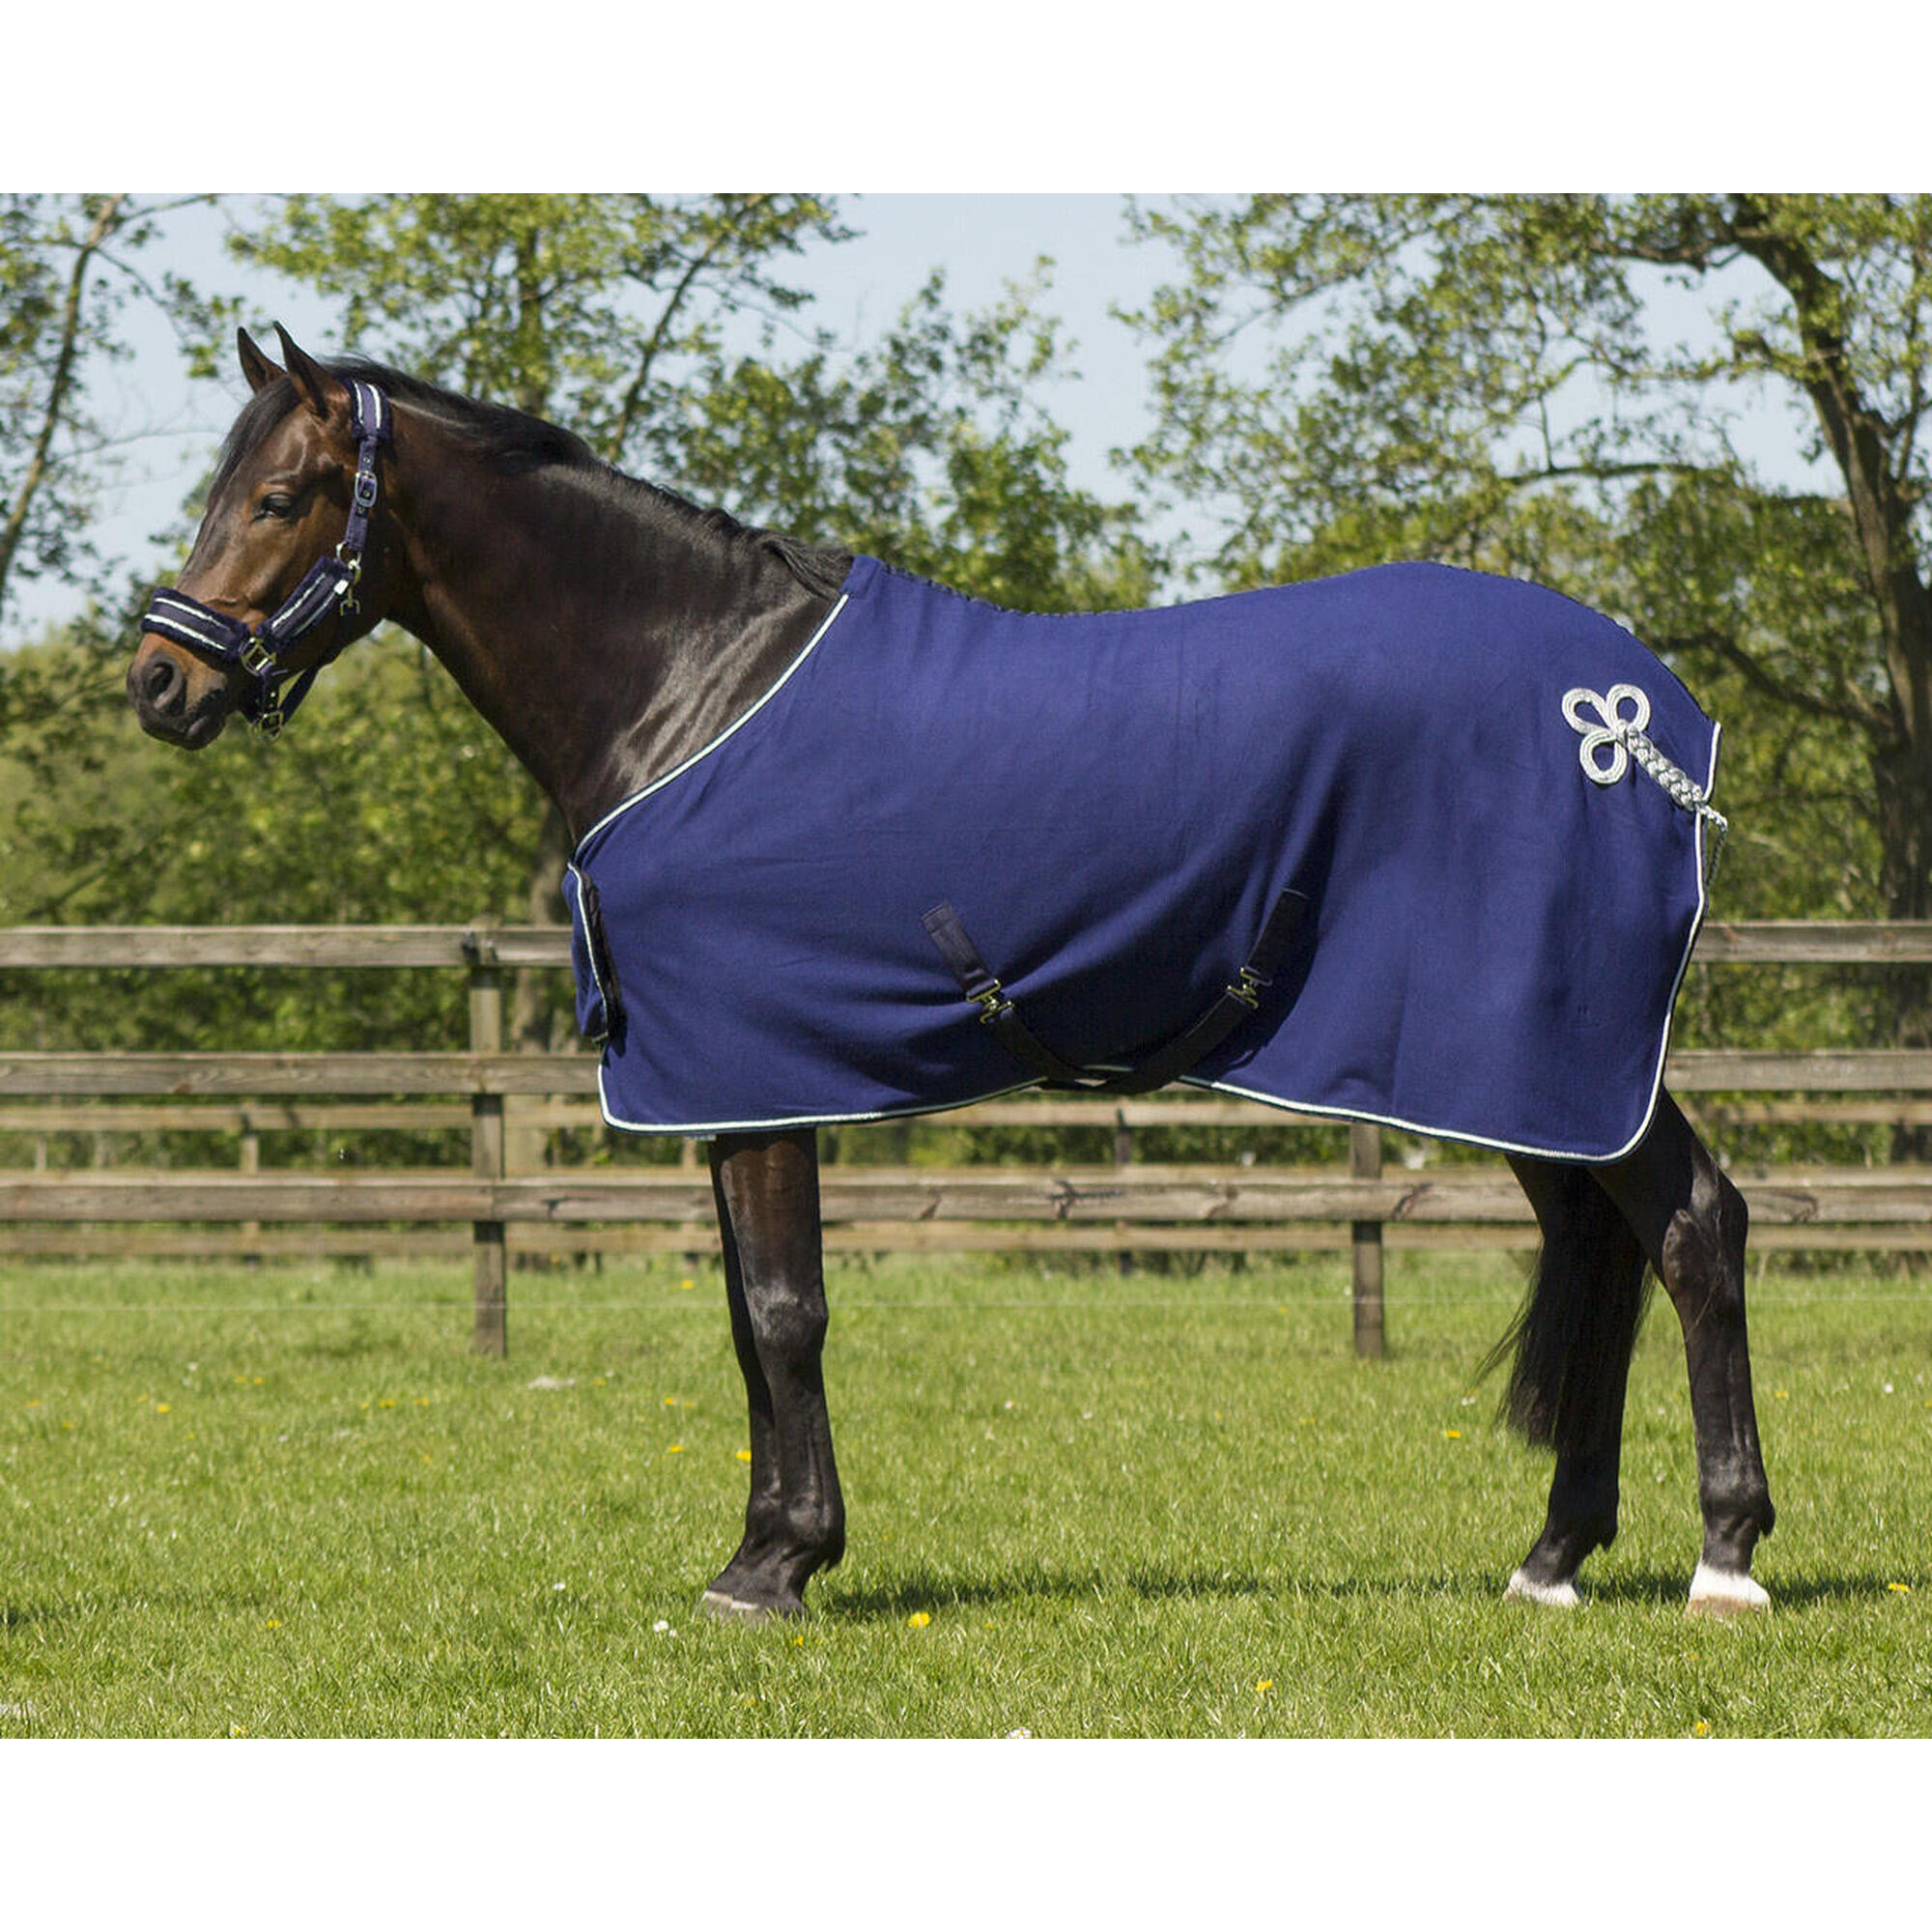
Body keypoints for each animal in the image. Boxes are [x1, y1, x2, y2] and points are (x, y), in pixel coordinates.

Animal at [126, 326, 1776, 1622]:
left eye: (277, 497)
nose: (160, 680)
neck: (691, 684)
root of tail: (1644, 721)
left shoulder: (761, 1068)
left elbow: (786, 1309)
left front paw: (775, 1570)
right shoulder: (724, 1089)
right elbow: (749, 1324)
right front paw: (768, 1549)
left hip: (1553, 1048)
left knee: (1695, 1226)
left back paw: (1728, 1557)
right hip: (1524, 1069)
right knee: (1606, 1242)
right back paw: (1553, 1557)